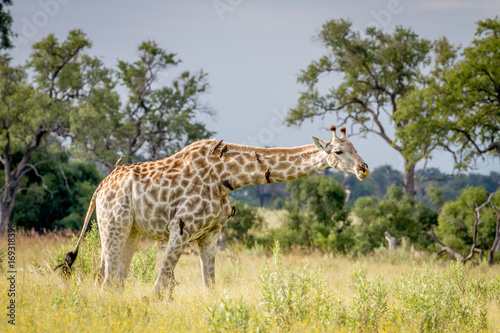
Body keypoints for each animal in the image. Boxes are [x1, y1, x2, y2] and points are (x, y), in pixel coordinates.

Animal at [56, 124, 370, 296]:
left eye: (356, 147)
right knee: (106, 279)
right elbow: (159, 286)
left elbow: (210, 287)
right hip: (113, 224)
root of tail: (99, 188)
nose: (363, 168)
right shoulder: (180, 228)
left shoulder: (210, 235)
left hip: (131, 231)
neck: (226, 177)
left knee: (115, 280)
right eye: (338, 152)